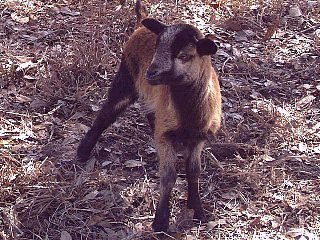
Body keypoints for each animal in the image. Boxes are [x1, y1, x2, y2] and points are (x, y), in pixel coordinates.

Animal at [78, 15, 222, 232]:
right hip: (126, 78)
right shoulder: (165, 136)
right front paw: (160, 222)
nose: (151, 73)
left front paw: (197, 211)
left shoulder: (199, 138)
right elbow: (169, 175)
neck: (189, 115)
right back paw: (82, 152)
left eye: (185, 56)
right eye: (157, 48)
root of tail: (140, 26)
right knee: (105, 115)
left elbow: (194, 172)